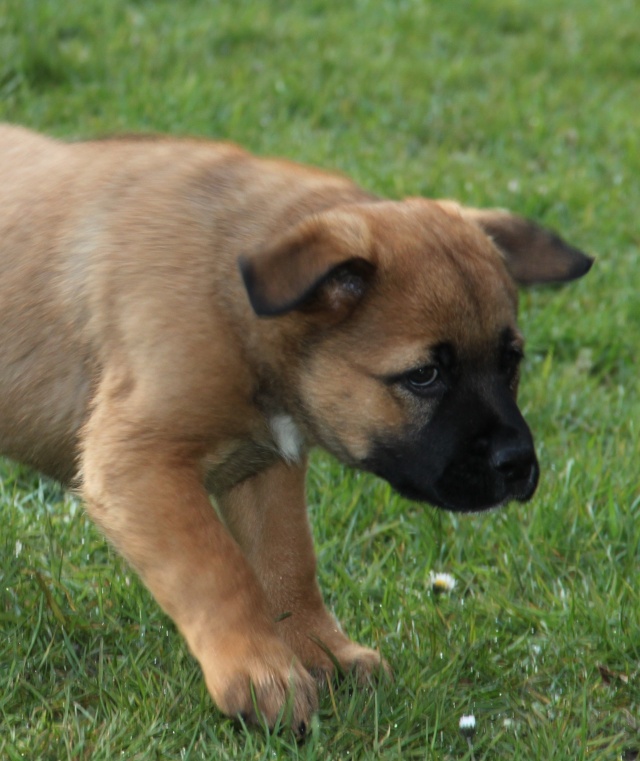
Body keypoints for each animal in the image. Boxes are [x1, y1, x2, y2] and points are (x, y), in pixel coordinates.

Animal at [0, 126, 592, 736]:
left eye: (510, 361)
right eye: (424, 376)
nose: (519, 464)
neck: (234, 303)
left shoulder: (268, 465)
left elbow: (288, 563)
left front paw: (322, 651)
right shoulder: (137, 464)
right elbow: (219, 570)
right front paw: (260, 673)